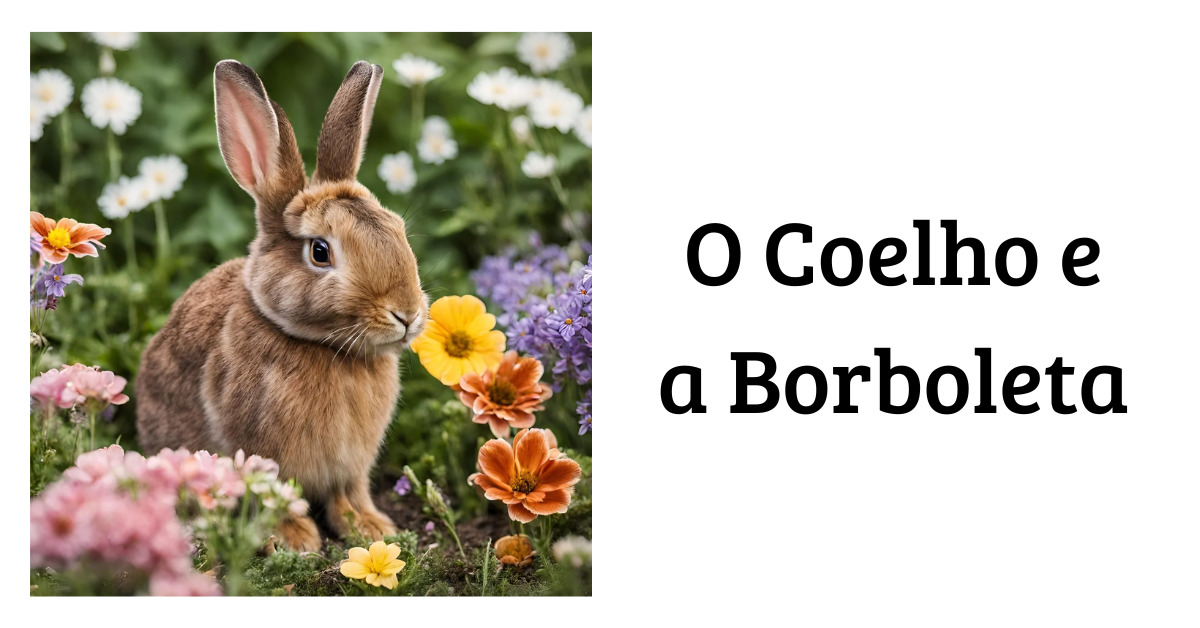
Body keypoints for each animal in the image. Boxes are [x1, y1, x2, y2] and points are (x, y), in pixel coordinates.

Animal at [136, 59, 428, 551]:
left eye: (398, 230)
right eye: (320, 252)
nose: (406, 314)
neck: (328, 349)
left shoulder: (350, 466)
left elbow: (349, 494)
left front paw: (371, 529)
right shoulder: (260, 453)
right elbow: (272, 496)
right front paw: (295, 540)